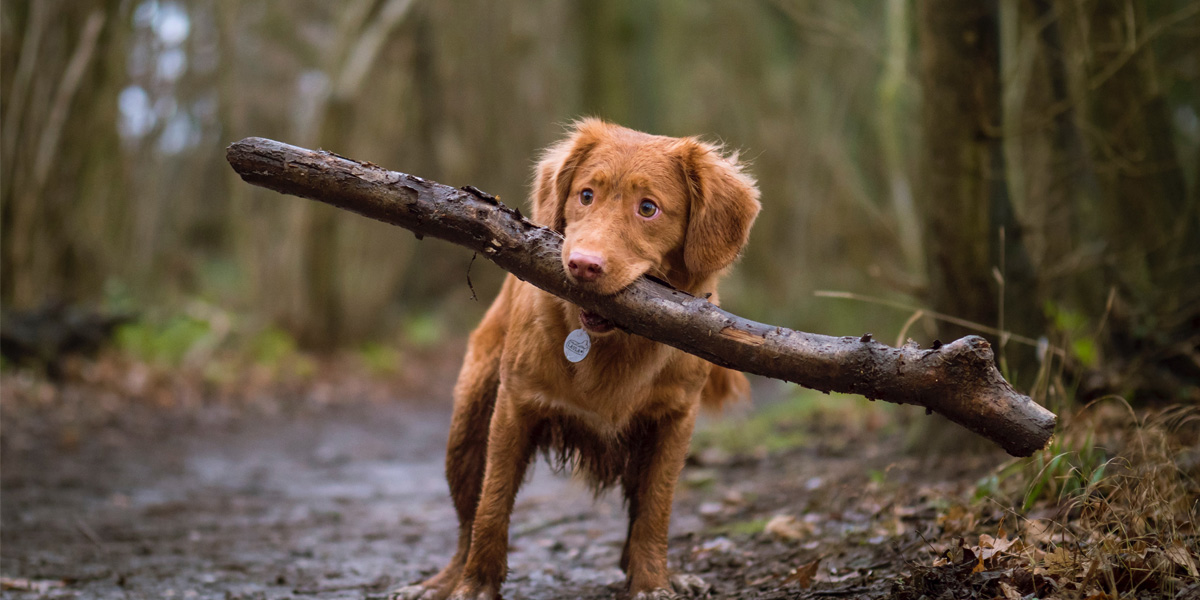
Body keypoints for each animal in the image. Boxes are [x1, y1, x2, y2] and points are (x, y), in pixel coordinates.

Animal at [398, 118, 763, 600]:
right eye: (586, 195)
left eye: (648, 208)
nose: (583, 265)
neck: (611, 343)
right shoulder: (514, 407)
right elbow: (491, 506)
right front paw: (475, 586)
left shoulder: (674, 421)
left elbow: (654, 511)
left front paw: (652, 583)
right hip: (468, 425)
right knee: (465, 523)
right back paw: (442, 581)